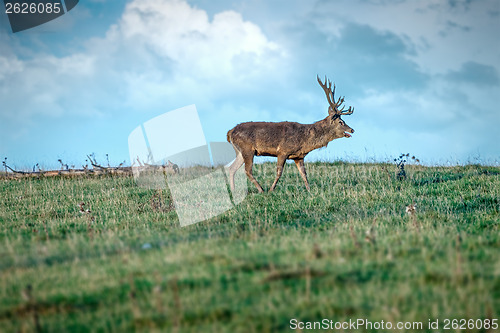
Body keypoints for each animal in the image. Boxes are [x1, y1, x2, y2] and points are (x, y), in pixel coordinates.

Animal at [227, 75, 356, 192]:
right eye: (341, 122)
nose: (352, 130)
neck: (304, 141)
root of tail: (230, 132)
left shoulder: (299, 156)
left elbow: (304, 174)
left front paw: (310, 191)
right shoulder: (283, 151)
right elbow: (279, 172)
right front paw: (271, 190)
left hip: (240, 151)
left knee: (232, 168)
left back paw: (233, 190)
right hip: (247, 148)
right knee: (247, 170)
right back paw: (261, 190)